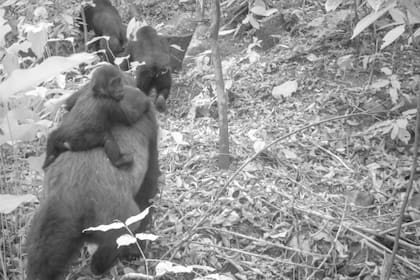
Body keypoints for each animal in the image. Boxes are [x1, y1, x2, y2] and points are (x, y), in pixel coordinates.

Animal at [25, 75, 159, 278]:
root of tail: (70, 201)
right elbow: (147, 193)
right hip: (115, 225)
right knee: (114, 243)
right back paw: (101, 267)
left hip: (49, 220)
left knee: (42, 257)